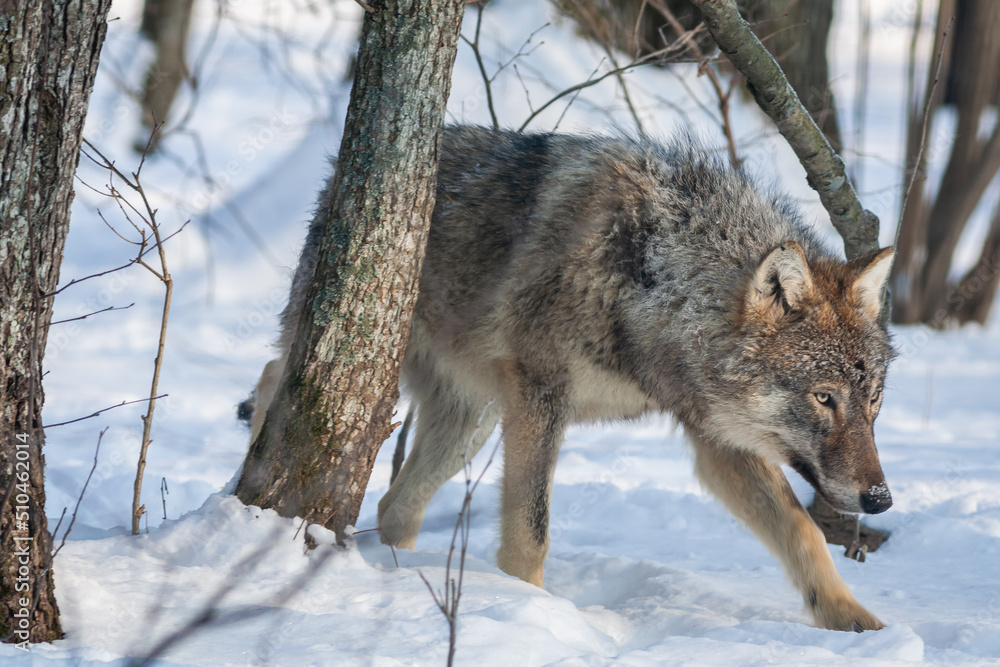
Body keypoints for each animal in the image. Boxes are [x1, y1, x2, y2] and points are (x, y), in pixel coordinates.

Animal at [247, 126, 895, 632]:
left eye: (872, 403)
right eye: (824, 398)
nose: (881, 499)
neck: (652, 281)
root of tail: (342, 171)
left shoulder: (715, 438)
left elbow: (802, 531)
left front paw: (853, 621)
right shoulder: (540, 397)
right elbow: (530, 531)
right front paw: (531, 613)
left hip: (472, 426)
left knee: (394, 505)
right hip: (378, 357)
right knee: (277, 375)